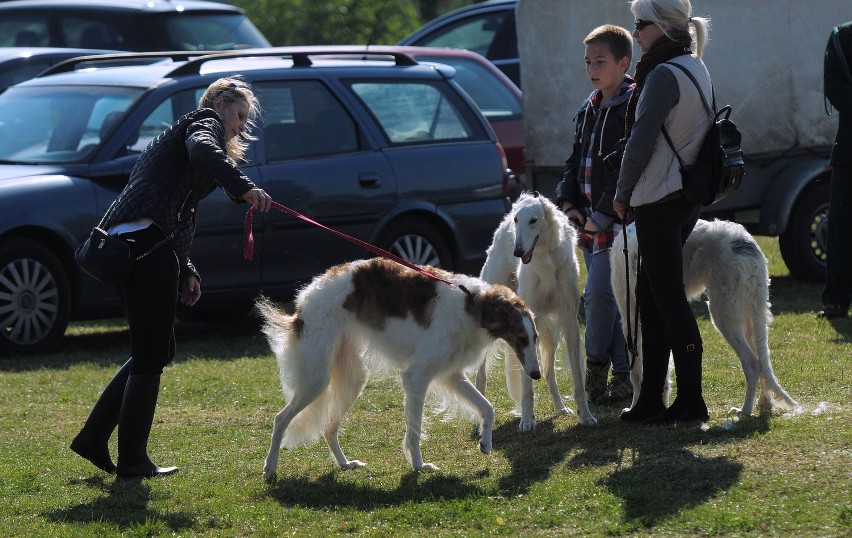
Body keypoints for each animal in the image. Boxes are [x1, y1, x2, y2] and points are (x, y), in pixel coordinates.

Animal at [256, 256, 544, 478]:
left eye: (535, 338)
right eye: (521, 339)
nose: (536, 374)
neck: (473, 306)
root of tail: (306, 296)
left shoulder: (451, 375)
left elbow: (488, 407)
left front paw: (485, 442)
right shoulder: (417, 376)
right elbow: (414, 431)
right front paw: (419, 466)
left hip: (352, 377)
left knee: (329, 428)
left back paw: (345, 464)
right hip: (317, 378)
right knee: (281, 418)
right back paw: (270, 468)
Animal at [476, 191, 596, 430]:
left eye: (533, 220)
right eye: (517, 220)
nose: (518, 251)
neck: (546, 259)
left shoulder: (569, 319)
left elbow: (577, 376)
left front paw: (585, 416)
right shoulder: (526, 324)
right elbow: (526, 383)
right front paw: (527, 420)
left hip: (548, 333)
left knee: (549, 373)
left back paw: (560, 407)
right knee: (481, 374)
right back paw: (480, 419)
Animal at [612, 218, 800, 414]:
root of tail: (747, 243)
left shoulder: (629, 320)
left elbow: (637, 373)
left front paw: (634, 408)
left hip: (723, 315)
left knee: (753, 364)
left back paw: (744, 411)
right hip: (751, 316)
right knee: (762, 362)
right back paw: (764, 403)